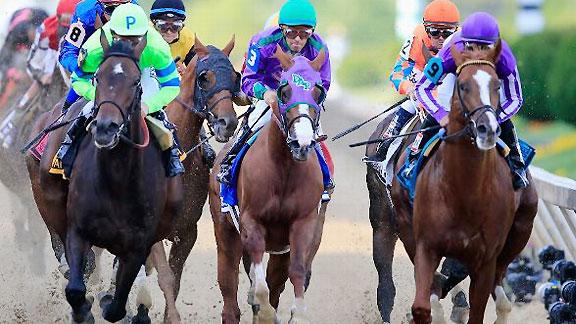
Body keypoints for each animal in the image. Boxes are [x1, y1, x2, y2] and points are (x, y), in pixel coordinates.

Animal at [209, 46, 328, 324]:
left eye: (318, 91)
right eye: (284, 91)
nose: (302, 142)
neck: (284, 171)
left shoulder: (304, 222)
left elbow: (296, 271)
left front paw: (298, 314)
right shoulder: (251, 221)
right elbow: (257, 277)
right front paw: (263, 310)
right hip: (225, 231)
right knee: (229, 287)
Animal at [372, 41, 536, 322]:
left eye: (497, 85)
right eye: (461, 85)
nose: (486, 128)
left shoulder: (492, 244)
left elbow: (461, 273)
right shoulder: (417, 231)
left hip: (521, 229)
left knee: (498, 277)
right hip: (383, 219)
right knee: (386, 274)